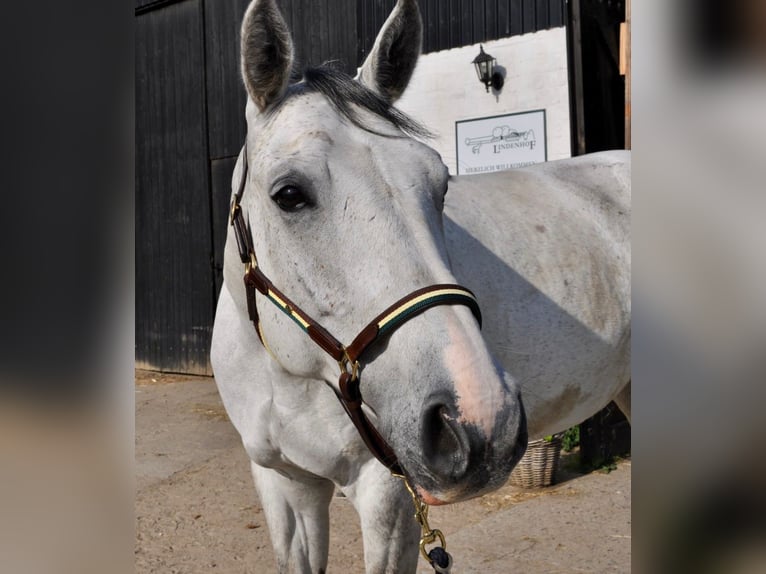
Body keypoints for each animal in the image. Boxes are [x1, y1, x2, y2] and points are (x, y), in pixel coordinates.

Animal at [210, 2, 632, 572]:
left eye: (440, 184)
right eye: (289, 194)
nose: (481, 420)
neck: (290, 378)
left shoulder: (387, 498)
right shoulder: (285, 485)